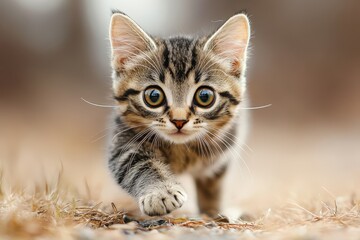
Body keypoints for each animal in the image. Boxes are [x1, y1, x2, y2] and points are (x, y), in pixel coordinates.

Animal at [107, 10, 250, 218]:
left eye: (205, 96)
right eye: (154, 96)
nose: (179, 120)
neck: (182, 150)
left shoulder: (224, 151)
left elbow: (213, 186)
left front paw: (213, 212)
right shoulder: (123, 140)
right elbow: (140, 164)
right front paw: (160, 193)